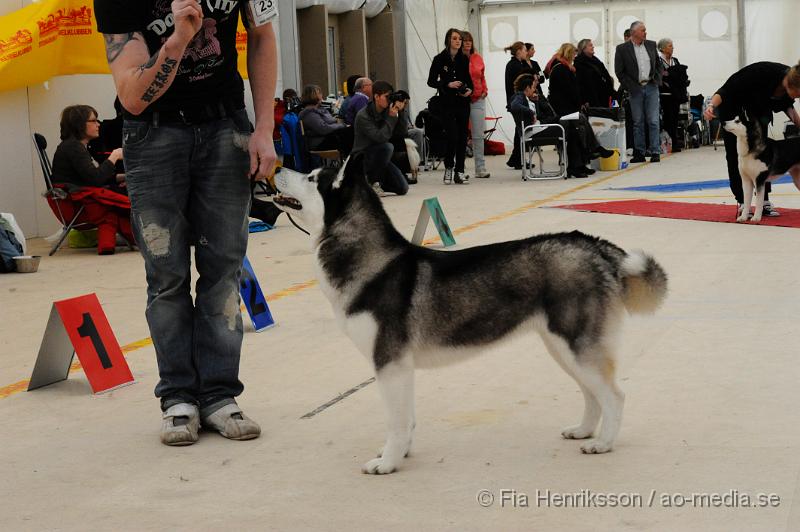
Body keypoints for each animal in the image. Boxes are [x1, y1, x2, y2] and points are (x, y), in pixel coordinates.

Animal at [276, 157, 668, 474]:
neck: (372, 262)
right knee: (592, 394)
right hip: (562, 348)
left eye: (312, 177)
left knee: (614, 396)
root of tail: (594, 245)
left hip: (576, 346)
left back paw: (603, 443)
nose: (277, 167)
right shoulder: (401, 367)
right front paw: (402, 454)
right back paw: (584, 430)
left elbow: (397, 422)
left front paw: (387, 462)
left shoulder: (388, 362)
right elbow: (408, 420)